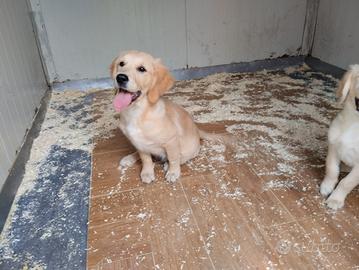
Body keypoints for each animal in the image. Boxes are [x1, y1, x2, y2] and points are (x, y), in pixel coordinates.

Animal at [111, 50, 221, 184]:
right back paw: (129, 158)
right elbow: (145, 159)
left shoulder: (171, 141)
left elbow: (173, 158)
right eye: (121, 63)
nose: (120, 77)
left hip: (190, 149)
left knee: (182, 157)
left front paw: (173, 172)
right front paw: (147, 172)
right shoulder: (139, 143)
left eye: (142, 69)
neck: (138, 113)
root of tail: (197, 130)